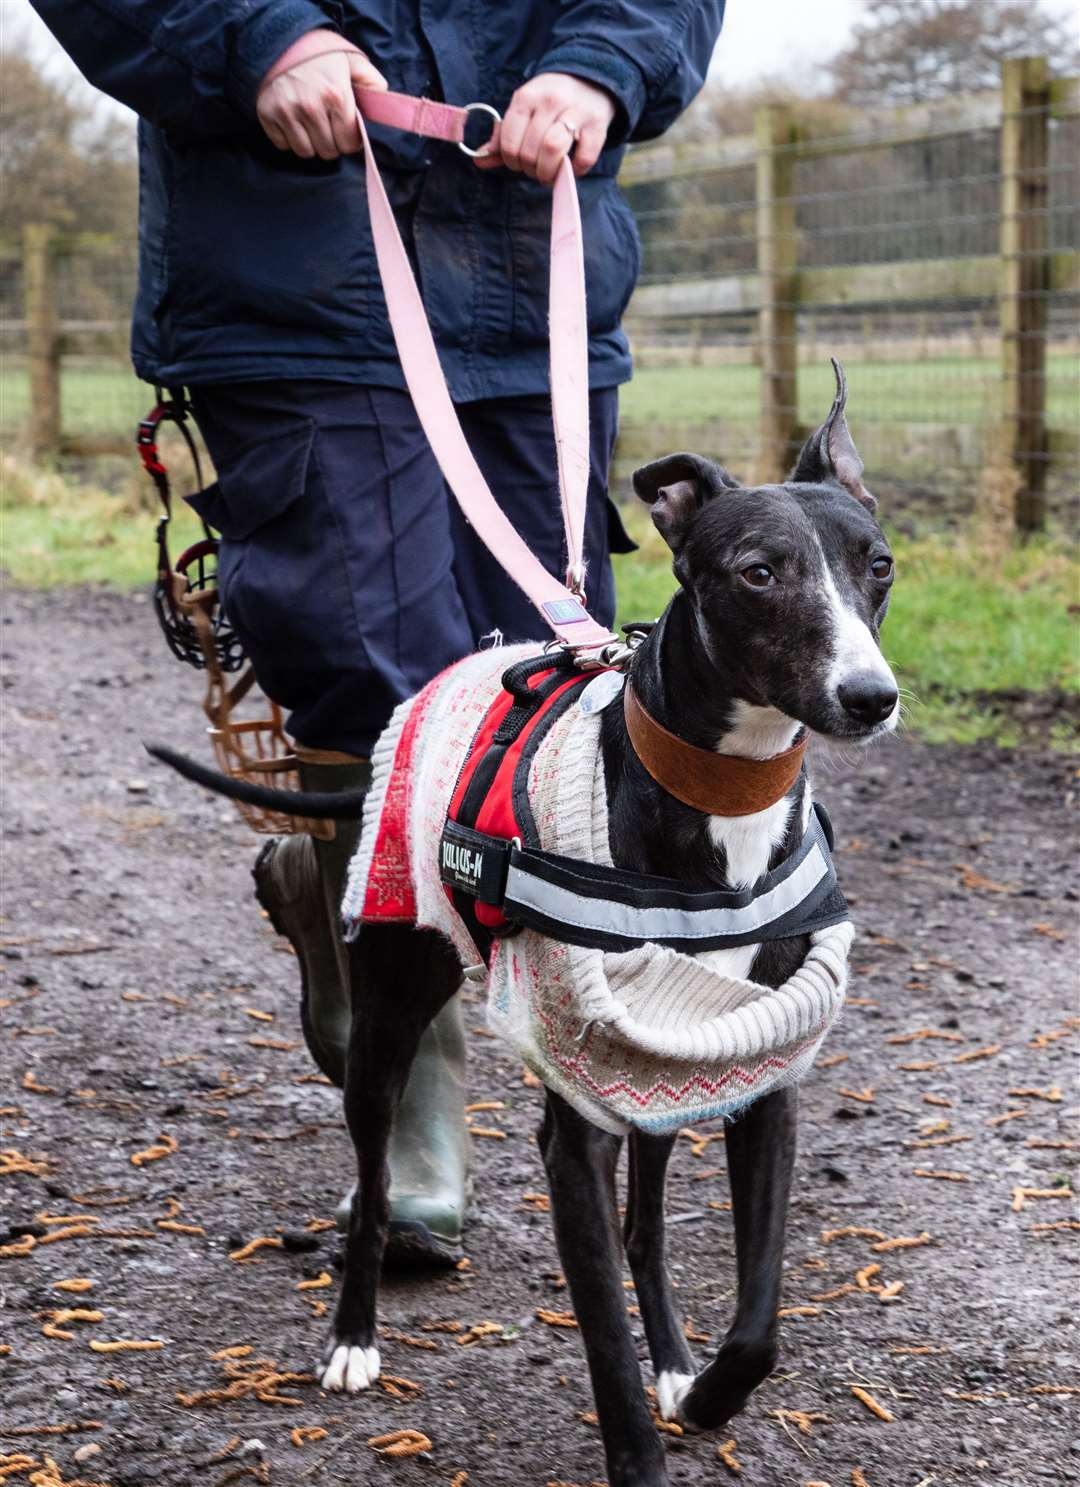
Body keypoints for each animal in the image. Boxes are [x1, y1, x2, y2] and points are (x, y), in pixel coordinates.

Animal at [152, 362, 898, 1487]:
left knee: (646, 1231)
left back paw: (675, 1359)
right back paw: (353, 1334)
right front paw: (642, 1448)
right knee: (373, 1177)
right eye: (760, 572)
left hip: (662, 1059)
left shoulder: (762, 1075)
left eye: (878, 564)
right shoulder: (572, 1128)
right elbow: (603, 1349)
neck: (717, 804)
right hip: (391, 1014)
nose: (871, 696)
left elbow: (758, 1320)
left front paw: (706, 1391)